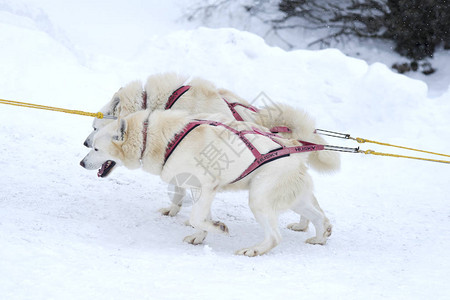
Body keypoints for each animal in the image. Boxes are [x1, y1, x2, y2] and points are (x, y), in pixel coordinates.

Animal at [80, 110, 334, 255]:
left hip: (259, 200)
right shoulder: (198, 189)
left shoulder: (207, 185)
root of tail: (295, 147)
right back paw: (320, 237)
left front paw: (218, 228)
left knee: (275, 237)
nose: (81, 163)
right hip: (294, 200)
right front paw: (201, 236)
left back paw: (253, 250)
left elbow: (196, 218)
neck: (154, 137)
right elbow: (201, 218)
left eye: (96, 149)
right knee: (320, 217)